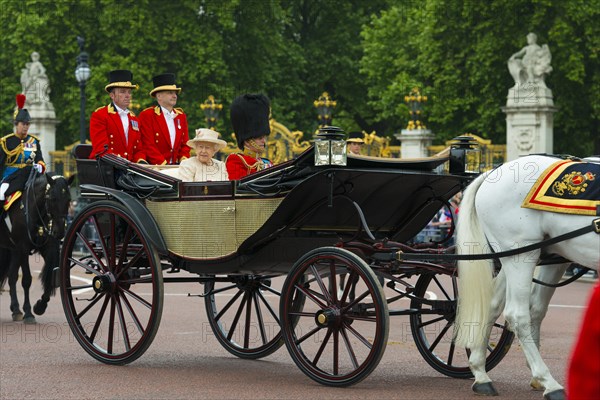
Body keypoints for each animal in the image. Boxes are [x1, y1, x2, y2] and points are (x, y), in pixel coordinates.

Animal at [0, 170, 73, 324]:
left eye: (69, 199)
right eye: (52, 198)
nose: (60, 232)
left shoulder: (48, 248)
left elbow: (52, 277)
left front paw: (40, 306)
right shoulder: (23, 247)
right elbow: (26, 279)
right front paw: (28, 313)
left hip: (13, 250)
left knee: (12, 276)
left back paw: (15, 309)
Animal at [458, 155, 596, 398]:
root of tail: (493, 171)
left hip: (536, 255)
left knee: (499, 305)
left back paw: (481, 373)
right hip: (521, 254)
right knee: (517, 314)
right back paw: (549, 383)